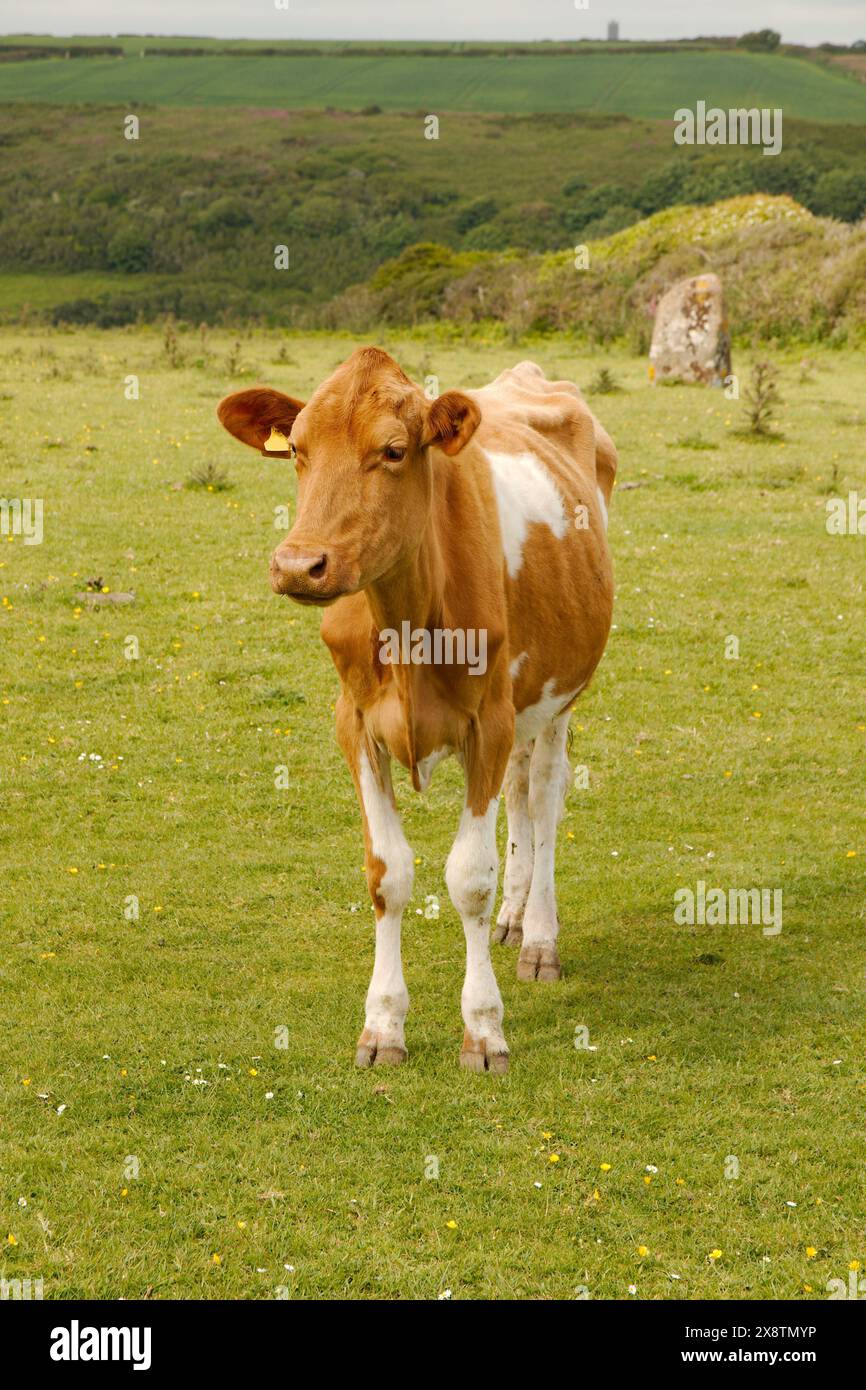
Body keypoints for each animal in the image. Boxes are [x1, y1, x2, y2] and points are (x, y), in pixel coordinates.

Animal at [217, 348, 615, 1073]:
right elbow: (388, 872)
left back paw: (539, 937)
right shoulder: (354, 724)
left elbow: (470, 878)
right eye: (299, 451)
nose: (298, 564)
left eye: (394, 451)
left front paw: (483, 1029)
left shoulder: (489, 722)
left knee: (546, 793)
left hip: (561, 693)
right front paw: (382, 1025)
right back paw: (514, 919)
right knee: (520, 791)